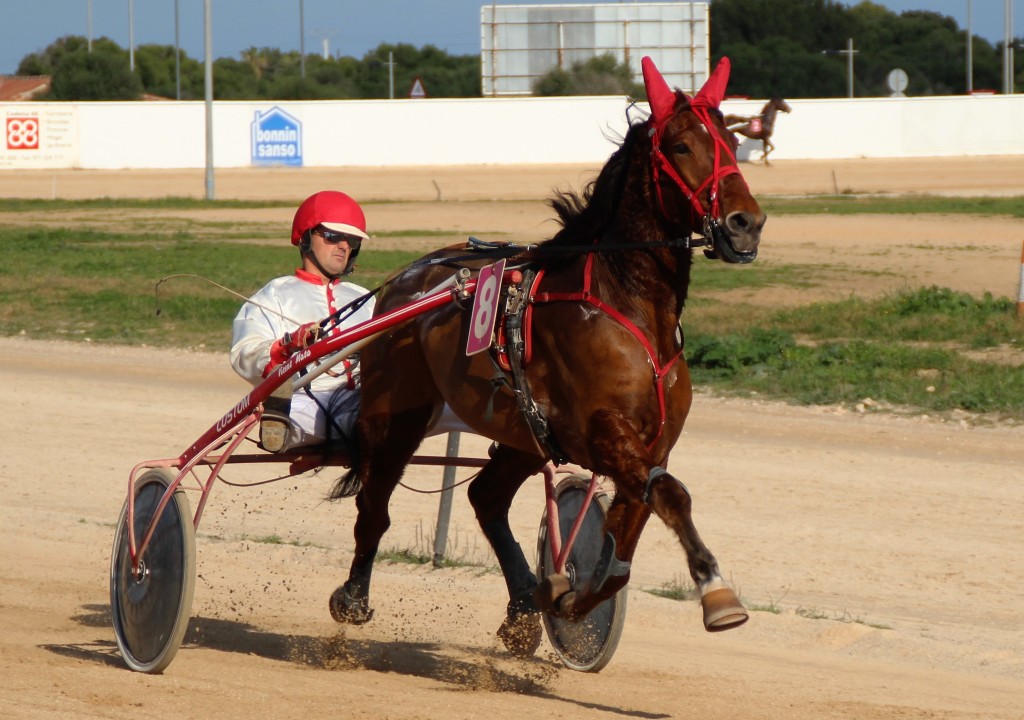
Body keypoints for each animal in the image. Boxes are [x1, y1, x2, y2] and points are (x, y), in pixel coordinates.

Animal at [325, 57, 761, 659]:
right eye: (680, 146)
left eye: (732, 141)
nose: (747, 223)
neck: (625, 304)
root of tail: (407, 279)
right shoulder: (601, 432)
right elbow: (671, 494)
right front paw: (717, 591)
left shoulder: (651, 443)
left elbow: (630, 530)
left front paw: (568, 597)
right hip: (396, 414)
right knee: (374, 507)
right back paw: (352, 598)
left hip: (524, 435)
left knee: (485, 496)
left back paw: (522, 609)